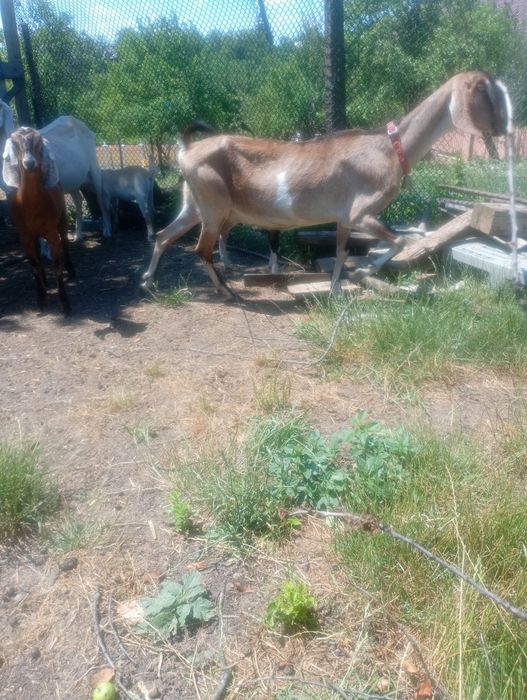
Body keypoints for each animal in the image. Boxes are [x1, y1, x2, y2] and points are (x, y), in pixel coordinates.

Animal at [3, 127, 74, 315]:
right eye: (16, 143)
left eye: (39, 142)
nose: (29, 163)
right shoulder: (24, 235)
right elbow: (34, 266)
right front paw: (41, 300)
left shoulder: (51, 232)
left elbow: (56, 266)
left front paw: (65, 304)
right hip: (34, 235)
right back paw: (45, 281)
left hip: (62, 217)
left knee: (65, 241)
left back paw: (71, 270)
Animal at [142, 71, 509, 298]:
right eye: (488, 94)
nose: (505, 128)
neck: (389, 148)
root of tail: (185, 151)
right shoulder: (361, 213)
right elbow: (401, 241)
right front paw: (364, 272)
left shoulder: (344, 218)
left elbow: (342, 251)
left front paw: (336, 291)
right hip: (214, 207)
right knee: (200, 249)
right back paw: (228, 292)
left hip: (195, 204)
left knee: (164, 235)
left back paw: (148, 281)